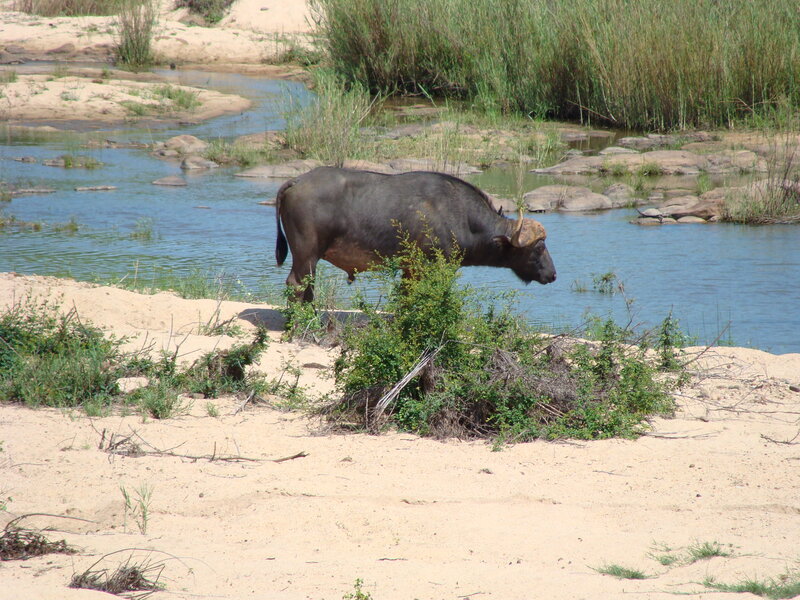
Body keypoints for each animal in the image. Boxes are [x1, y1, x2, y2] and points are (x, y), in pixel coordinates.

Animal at [275, 167, 556, 301]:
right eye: (539, 247)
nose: (553, 274)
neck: (461, 216)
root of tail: (298, 181)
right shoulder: (433, 267)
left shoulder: (410, 270)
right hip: (306, 255)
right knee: (296, 285)